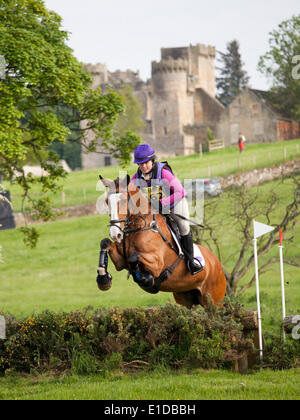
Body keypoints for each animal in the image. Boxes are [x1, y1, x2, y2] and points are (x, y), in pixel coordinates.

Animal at [96, 174, 225, 308]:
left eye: (122, 201)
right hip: (186, 298)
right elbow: (104, 243)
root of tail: (217, 263)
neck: (139, 227)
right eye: (107, 201)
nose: (115, 234)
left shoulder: (157, 263)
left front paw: (144, 278)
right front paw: (103, 279)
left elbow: (134, 257)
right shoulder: (120, 262)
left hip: (214, 301)